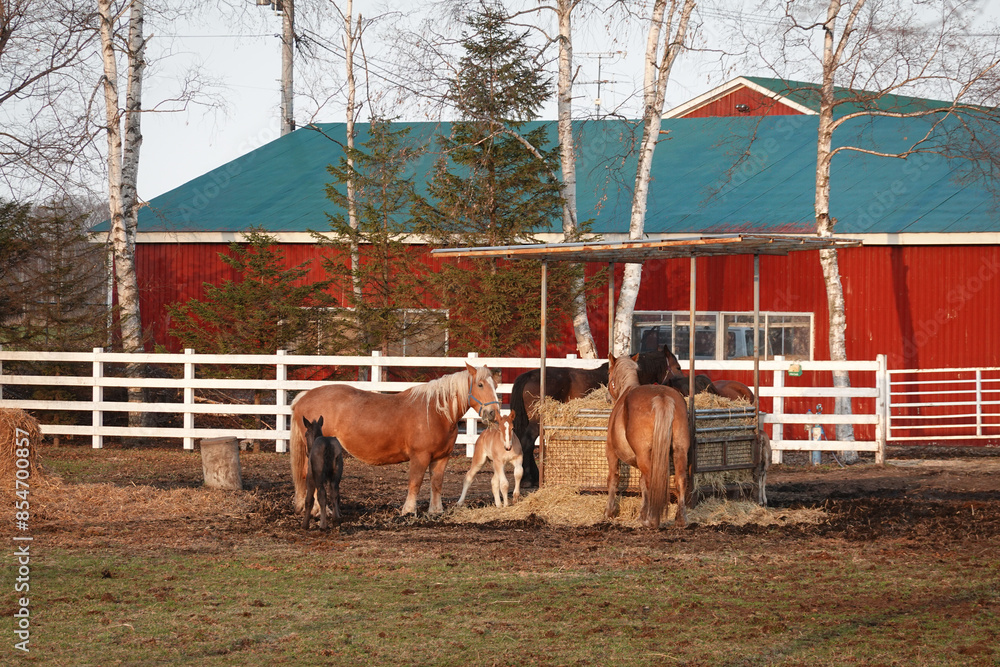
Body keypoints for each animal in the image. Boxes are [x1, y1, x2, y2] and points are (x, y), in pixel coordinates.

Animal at [290, 363, 500, 516]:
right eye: (480, 385)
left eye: (495, 386)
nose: (492, 413)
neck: (436, 412)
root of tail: (303, 397)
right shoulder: (420, 456)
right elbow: (415, 482)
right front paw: (408, 511)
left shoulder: (442, 457)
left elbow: (436, 483)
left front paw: (436, 511)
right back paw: (320, 510)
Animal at [605, 353, 691, 529]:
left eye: (608, 373)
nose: (608, 397)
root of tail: (662, 397)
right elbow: (642, 484)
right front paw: (641, 514)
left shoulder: (611, 452)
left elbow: (614, 478)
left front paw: (609, 512)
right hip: (679, 450)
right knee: (680, 480)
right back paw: (680, 519)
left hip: (644, 454)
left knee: (652, 481)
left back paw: (651, 520)